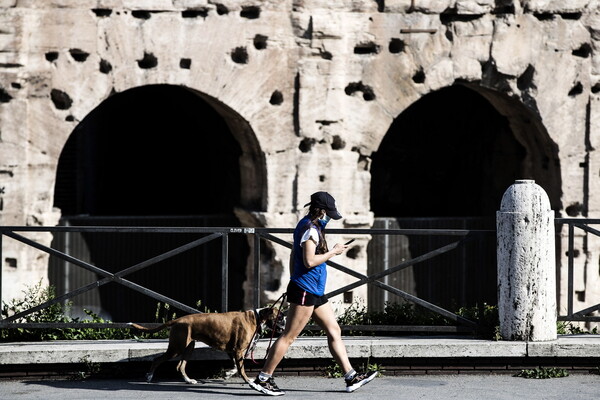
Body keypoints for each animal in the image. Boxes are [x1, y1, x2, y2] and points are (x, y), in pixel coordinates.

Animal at [129, 308, 284, 382]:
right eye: (281, 317)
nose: (286, 321)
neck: (256, 318)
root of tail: (177, 320)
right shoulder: (238, 350)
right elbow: (241, 369)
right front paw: (248, 381)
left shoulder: (233, 351)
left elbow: (236, 366)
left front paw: (228, 374)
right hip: (177, 348)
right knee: (157, 360)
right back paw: (149, 377)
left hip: (188, 348)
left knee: (180, 366)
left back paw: (189, 381)